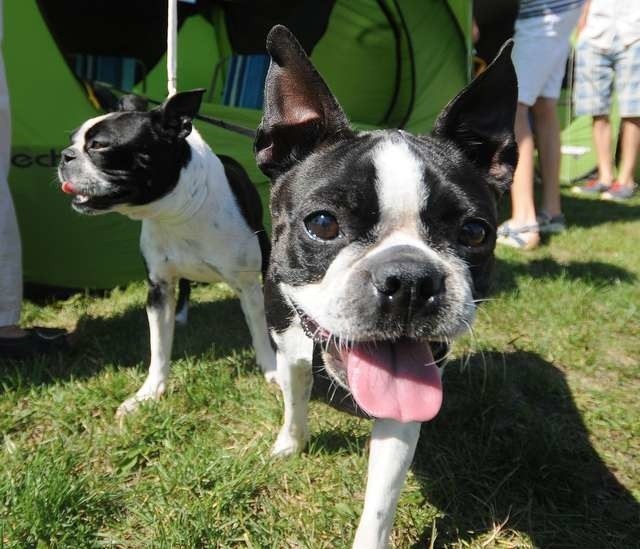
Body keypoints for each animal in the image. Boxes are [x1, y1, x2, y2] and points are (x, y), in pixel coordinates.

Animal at [60, 91, 278, 416]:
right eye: (72, 140)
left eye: (99, 145)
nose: (65, 155)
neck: (177, 211)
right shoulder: (159, 289)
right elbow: (159, 347)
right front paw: (149, 393)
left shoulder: (249, 286)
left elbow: (260, 332)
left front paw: (273, 370)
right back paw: (182, 314)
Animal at [255, 26, 520, 548]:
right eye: (322, 223)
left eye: (475, 233)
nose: (411, 280)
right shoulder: (289, 346)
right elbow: (295, 399)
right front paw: (289, 444)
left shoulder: (404, 407)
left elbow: (381, 500)